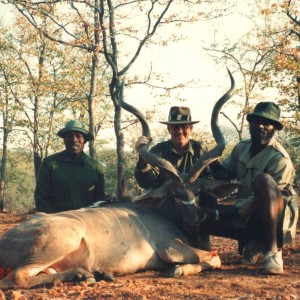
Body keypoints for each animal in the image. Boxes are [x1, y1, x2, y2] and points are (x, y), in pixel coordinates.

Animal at [0, 69, 234, 290]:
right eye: (174, 194)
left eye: (198, 192)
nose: (194, 221)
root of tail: (5, 240)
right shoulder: (170, 248)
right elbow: (214, 258)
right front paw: (178, 270)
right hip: (66, 237)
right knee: (16, 277)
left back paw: (89, 275)